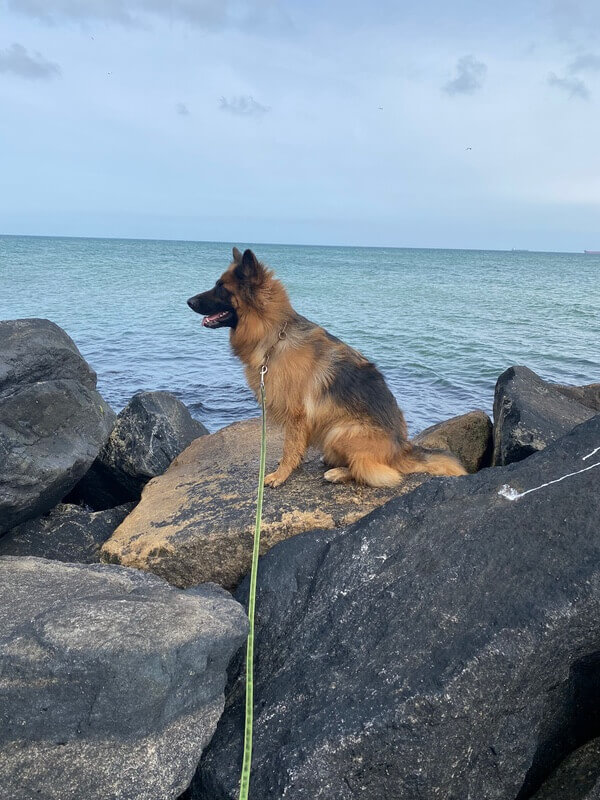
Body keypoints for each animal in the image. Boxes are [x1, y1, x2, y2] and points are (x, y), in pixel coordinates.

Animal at [187, 247, 466, 487]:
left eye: (221, 288)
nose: (188, 301)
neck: (275, 336)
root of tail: (402, 450)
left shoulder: (296, 414)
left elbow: (290, 447)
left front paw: (281, 474)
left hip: (340, 431)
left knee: (376, 471)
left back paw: (339, 472)